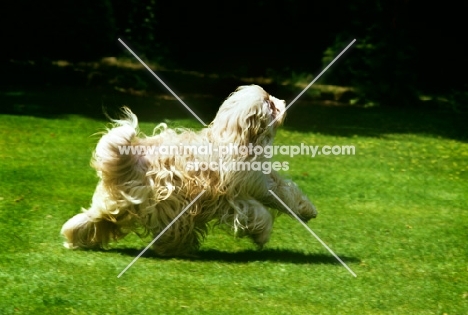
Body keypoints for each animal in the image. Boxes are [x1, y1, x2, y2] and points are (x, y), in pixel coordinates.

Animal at [61, 86, 318, 256]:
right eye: (269, 103)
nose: (281, 100)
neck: (236, 138)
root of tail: (127, 161)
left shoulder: (262, 182)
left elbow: (285, 192)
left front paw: (306, 210)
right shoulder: (234, 198)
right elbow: (258, 213)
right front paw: (263, 235)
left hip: (115, 204)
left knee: (92, 219)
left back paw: (73, 238)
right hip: (167, 205)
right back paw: (177, 247)